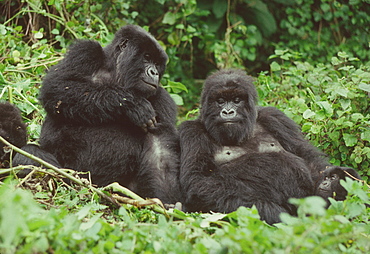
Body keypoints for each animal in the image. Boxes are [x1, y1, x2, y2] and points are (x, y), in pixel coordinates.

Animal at [16, 25, 181, 204]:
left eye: (157, 64)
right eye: (147, 57)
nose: (154, 73)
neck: (117, 75)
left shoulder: (162, 99)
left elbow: (161, 147)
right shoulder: (86, 51)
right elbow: (58, 85)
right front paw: (133, 104)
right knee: (30, 154)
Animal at [179, 68, 362, 223]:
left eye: (237, 100)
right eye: (220, 101)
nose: (228, 112)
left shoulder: (275, 117)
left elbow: (309, 160)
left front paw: (339, 182)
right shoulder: (191, 132)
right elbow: (199, 181)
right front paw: (271, 211)